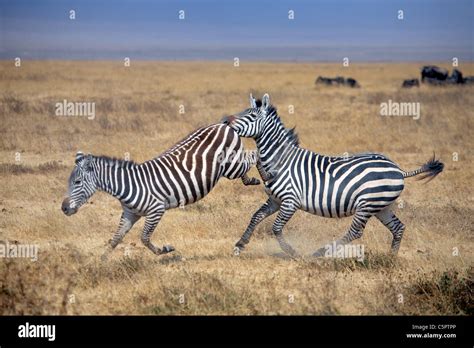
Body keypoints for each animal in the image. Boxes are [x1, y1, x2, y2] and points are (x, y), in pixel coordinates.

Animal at [61, 122, 262, 256]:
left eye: (77, 182)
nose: (63, 208)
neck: (127, 185)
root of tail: (222, 125)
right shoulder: (130, 214)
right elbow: (115, 238)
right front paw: (101, 261)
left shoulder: (156, 210)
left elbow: (144, 238)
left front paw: (165, 250)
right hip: (231, 166)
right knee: (249, 160)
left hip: (231, 165)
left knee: (253, 156)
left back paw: (260, 173)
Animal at [222, 94, 444, 256]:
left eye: (251, 116)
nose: (224, 120)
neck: (280, 160)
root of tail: (398, 169)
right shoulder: (275, 200)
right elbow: (256, 216)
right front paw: (240, 244)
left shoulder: (290, 201)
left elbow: (275, 228)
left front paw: (292, 252)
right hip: (382, 206)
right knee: (398, 228)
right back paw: (391, 258)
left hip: (367, 204)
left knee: (355, 231)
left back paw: (320, 253)